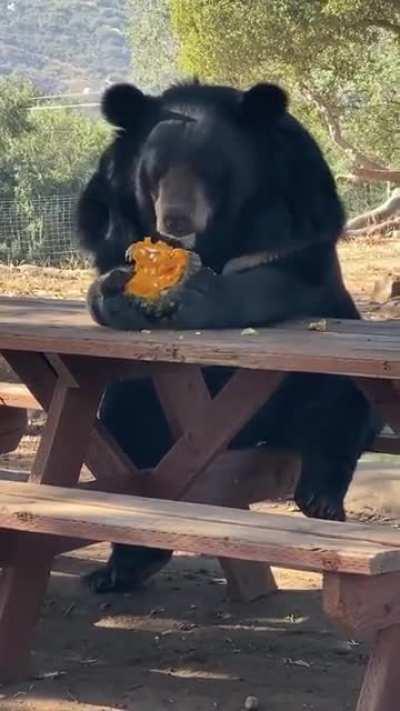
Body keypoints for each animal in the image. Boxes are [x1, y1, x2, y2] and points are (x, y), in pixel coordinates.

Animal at [77, 80, 380, 593]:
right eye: (154, 173)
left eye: (209, 170)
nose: (175, 220)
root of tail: (249, 436)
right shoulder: (110, 214)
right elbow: (110, 260)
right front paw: (120, 290)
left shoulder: (298, 205)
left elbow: (282, 274)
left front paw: (197, 292)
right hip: (148, 402)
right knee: (128, 423)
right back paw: (122, 566)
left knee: (339, 403)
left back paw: (321, 495)